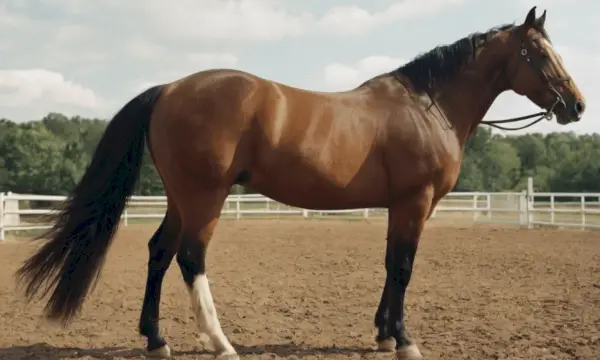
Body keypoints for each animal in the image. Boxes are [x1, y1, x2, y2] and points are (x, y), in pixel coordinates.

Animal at [15, 4, 584, 360]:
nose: (577, 106)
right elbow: (402, 268)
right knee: (190, 258)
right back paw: (220, 342)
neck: (427, 105)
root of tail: (170, 88)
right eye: (540, 54)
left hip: (182, 198)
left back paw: (156, 340)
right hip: (205, 198)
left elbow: (389, 265)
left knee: (159, 251)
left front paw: (382, 334)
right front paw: (403, 340)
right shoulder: (414, 202)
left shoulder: (398, 206)